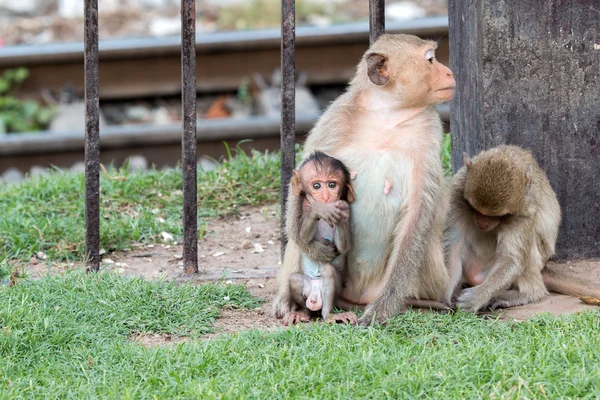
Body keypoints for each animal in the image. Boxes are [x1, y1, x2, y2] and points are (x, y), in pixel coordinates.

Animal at [284, 152, 358, 324]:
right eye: (316, 186)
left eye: (332, 185)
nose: (325, 197)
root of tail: (315, 296)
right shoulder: (304, 206)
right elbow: (303, 237)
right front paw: (317, 210)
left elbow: (344, 247)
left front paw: (341, 217)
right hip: (306, 287)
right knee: (295, 279)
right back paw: (304, 312)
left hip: (334, 291)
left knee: (328, 271)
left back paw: (329, 314)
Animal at [442, 145, 600, 312]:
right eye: (474, 208)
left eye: (503, 215)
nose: (483, 223)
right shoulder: (457, 191)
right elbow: (453, 246)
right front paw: (445, 294)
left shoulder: (524, 210)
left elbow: (512, 259)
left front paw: (476, 298)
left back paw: (527, 293)